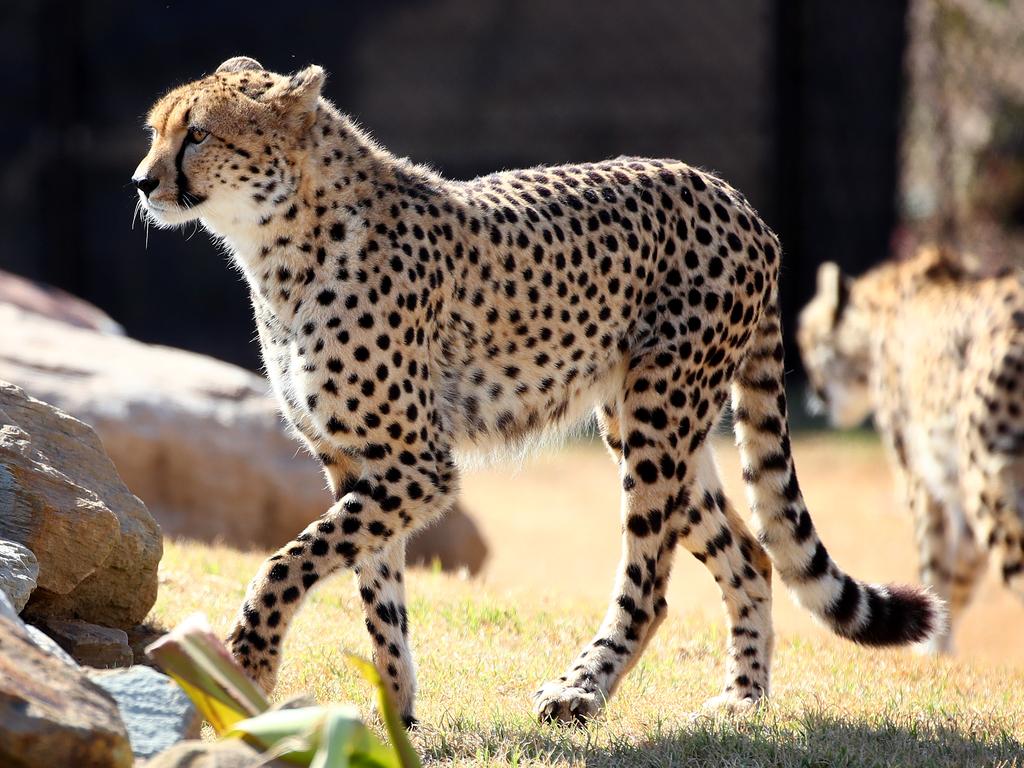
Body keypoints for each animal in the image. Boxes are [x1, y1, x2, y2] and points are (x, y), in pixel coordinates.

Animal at [136, 58, 942, 729]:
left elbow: (288, 560)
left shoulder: (417, 466)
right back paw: (742, 698)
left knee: (650, 583)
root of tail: (734, 198)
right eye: (156, 131)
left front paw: (250, 660)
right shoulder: (362, 464)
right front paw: (394, 714)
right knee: (750, 554)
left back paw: (581, 691)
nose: (143, 182)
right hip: (646, 422)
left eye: (197, 133)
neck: (280, 241)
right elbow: (378, 595)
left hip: (659, 418)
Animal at [798, 247, 1024, 655]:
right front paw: (938, 649)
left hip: (990, 481)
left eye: (807, 339)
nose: (815, 394)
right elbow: (958, 578)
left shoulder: (922, 480)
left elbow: (934, 563)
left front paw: (929, 652)